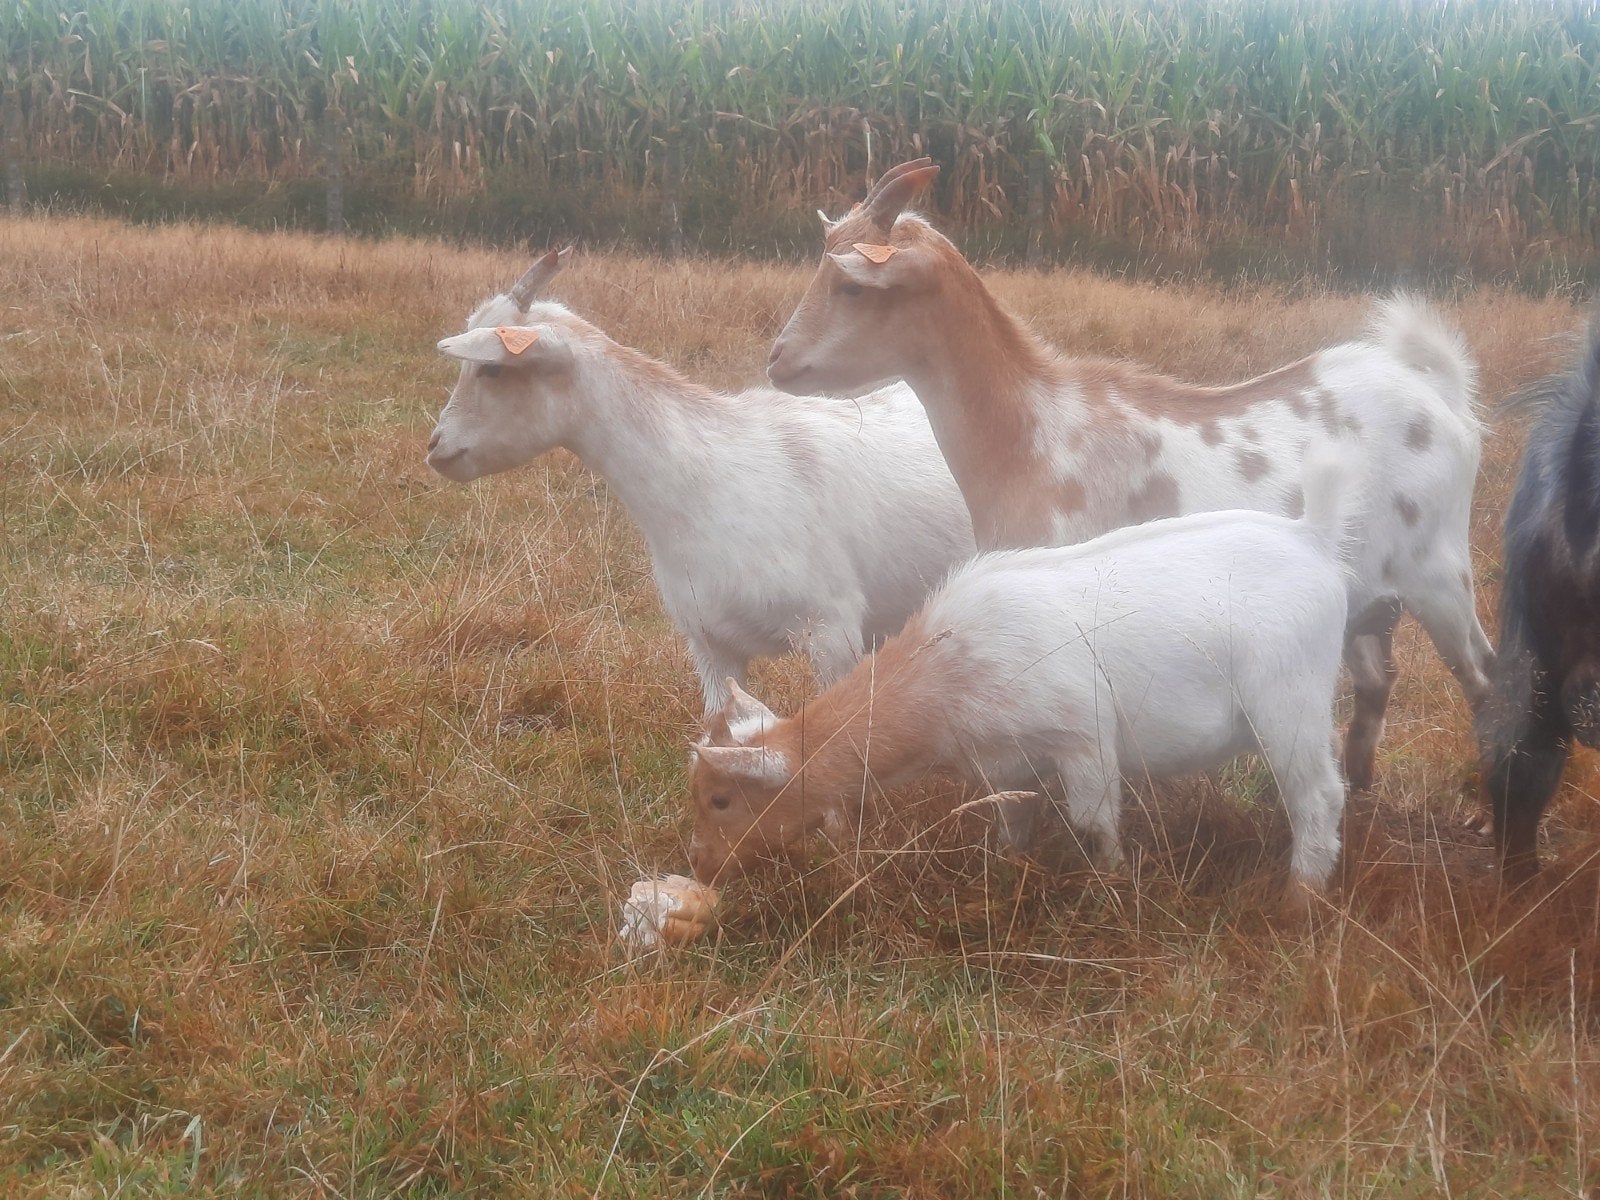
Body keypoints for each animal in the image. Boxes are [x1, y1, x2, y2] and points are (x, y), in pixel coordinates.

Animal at [688, 457, 1353, 896]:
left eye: (722, 798)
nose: (700, 866)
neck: (949, 667)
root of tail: (1313, 538)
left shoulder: (1083, 736)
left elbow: (1095, 823)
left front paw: (1111, 886)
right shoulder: (1005, 762)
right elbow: (1014, 820)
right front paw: (1011, 870)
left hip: (1289, 702)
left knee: (1319, 798)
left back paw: (1299, 899)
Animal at [765, 158, 1493, 793]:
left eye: (852, 286)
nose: (777, 359)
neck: (1033, 429)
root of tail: (1438, 394)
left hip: (1440, 573)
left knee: (1484, 675)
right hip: (1367, 597)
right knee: (1377, 680)